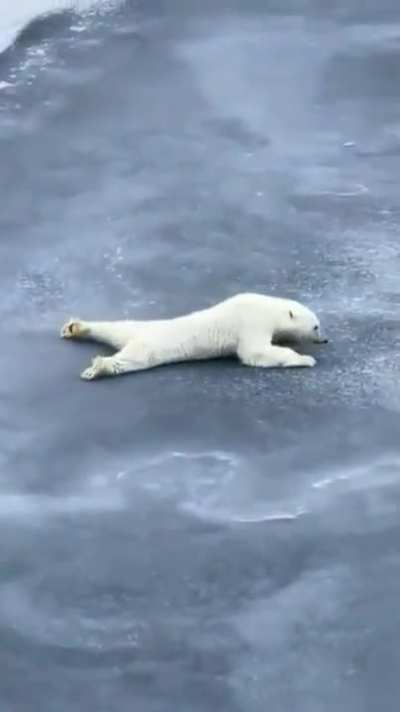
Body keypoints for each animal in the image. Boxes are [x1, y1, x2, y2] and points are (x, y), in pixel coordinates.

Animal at [60, 292, 327, 380]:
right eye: (316, 326)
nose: (324, 340)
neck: (268, 308)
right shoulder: (251, 322)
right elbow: (254, 352)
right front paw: (306, 359)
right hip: (151, 346)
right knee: (131, 360)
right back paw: (98, 368)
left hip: (134, 329)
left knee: (113, 328)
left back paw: (76, 327)